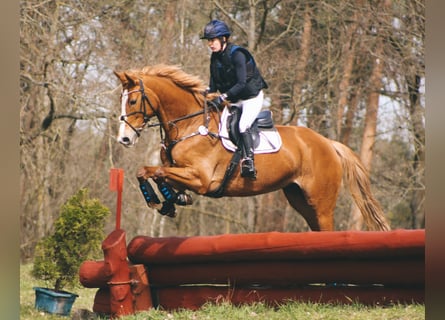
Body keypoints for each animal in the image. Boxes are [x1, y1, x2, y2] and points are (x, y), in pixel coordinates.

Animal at [113, 64, 388, 230]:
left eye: (133, 101)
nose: (124, 139)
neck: (189, 124)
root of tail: (328, 143)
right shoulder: (179, 172)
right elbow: (153, 172)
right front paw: (171, 200)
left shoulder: (201, 178)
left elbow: (153, 171)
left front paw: (160, 200)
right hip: (299, 198)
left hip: (321, 202)